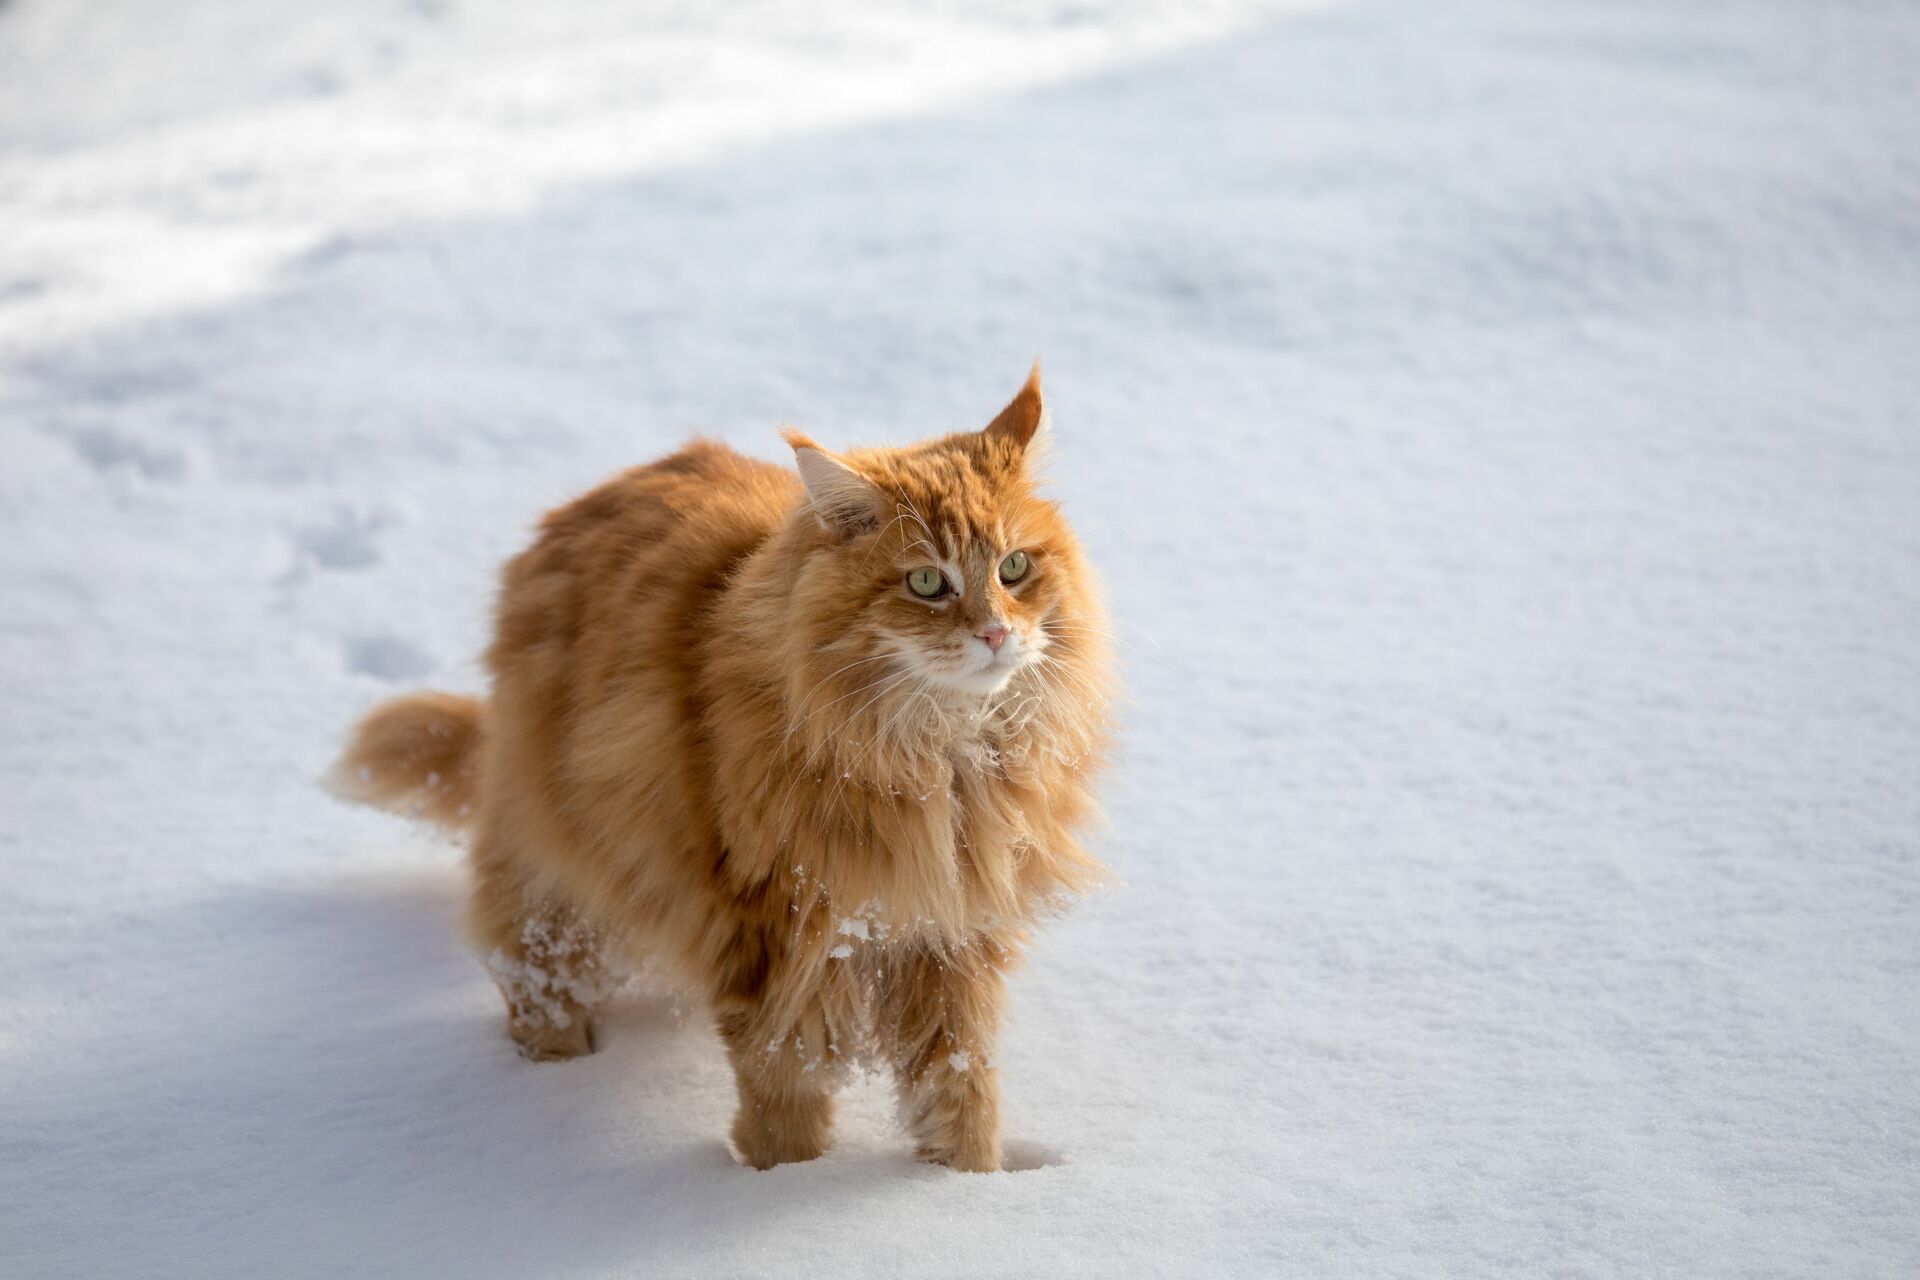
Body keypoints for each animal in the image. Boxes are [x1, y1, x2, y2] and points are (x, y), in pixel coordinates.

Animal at [328, 368, 1113, 1174]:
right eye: (927, 582)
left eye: (1014, 568)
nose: (993, 633)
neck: (942, 760)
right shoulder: (777, 941)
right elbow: (784, 1093)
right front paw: (779, 1185)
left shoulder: (950, 937)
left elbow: (958, 1091)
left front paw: (965, 1186)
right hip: (558, 859)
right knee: (527, 957)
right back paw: (557, 1063)